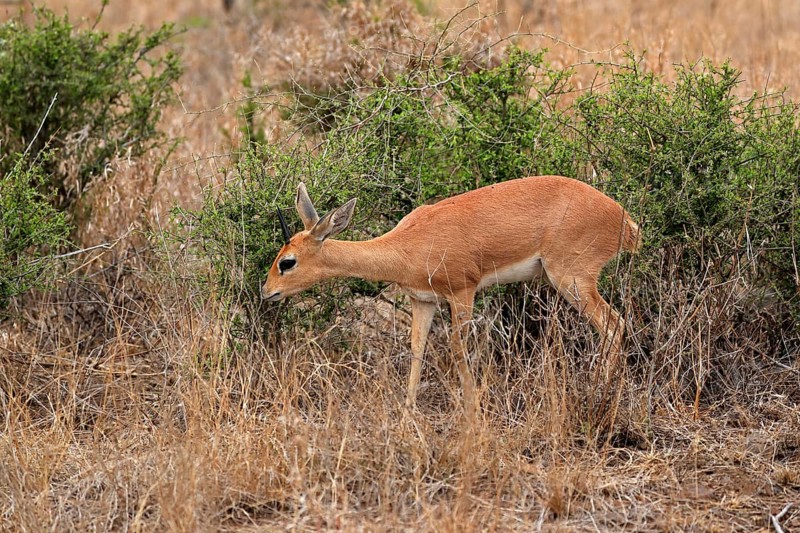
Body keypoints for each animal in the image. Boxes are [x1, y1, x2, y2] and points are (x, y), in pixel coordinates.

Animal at [262, 176, 640, 415]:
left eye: (287, 261)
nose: (266, 292)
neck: (409, 245)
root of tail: (625, 220)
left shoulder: (462, 291)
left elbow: (459, 351)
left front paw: (472, 412)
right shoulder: (423, 301)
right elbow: (417, 350)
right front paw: (407, 414)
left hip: (571, 279)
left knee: (614, 325)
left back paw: (600, 394)